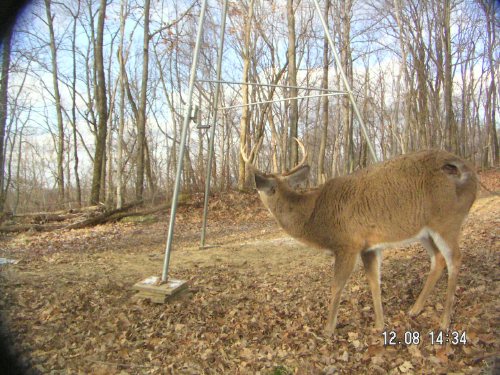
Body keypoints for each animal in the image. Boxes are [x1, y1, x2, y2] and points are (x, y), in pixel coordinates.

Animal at [241, 139, 476, 334]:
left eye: (267, 188)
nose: (251, 189)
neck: (314, 215)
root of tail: (467, 169)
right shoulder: (369, 246)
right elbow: (374, 282)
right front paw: (380, 325)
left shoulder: (348, 243)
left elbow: (336, 285)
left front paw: (328, 329)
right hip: (425, 231)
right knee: (438, 259)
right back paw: (415, 309)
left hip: (446, 220)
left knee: (455, 258)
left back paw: (444, 321)